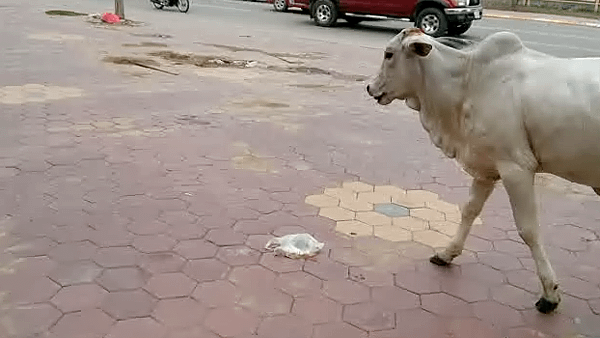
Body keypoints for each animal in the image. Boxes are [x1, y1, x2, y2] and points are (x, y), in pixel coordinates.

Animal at [366, 27, 600, 314]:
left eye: (389, 54)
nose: (370, 87)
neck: (470, 80)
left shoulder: (516, 168)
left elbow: (528, 230)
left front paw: (550, 294)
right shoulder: (486, 169)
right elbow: (469, 210)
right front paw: (447, 253)